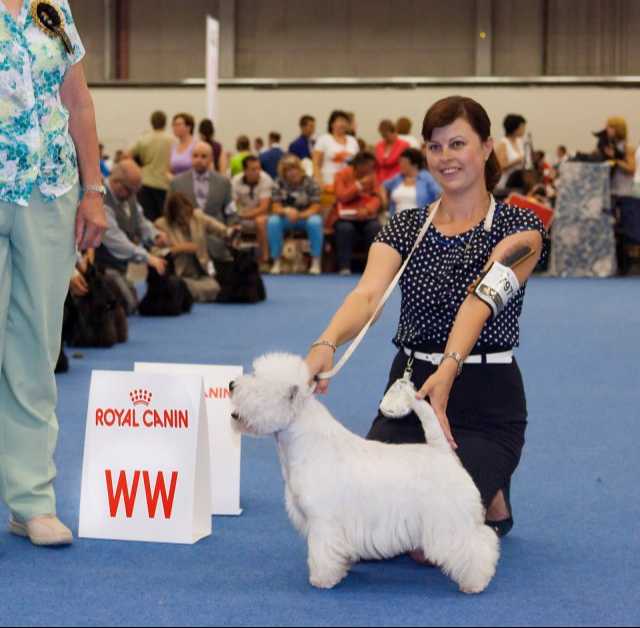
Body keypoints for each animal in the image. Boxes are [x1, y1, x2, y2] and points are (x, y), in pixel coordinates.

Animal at [230, 353, 499, 594]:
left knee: (476, 545)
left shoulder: (323, 521)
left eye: (256, 383)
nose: (231, 384)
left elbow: (321, 551)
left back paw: (475, 583)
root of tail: (442, 451)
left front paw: (322, 579)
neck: (305, 442)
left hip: (449, 521)